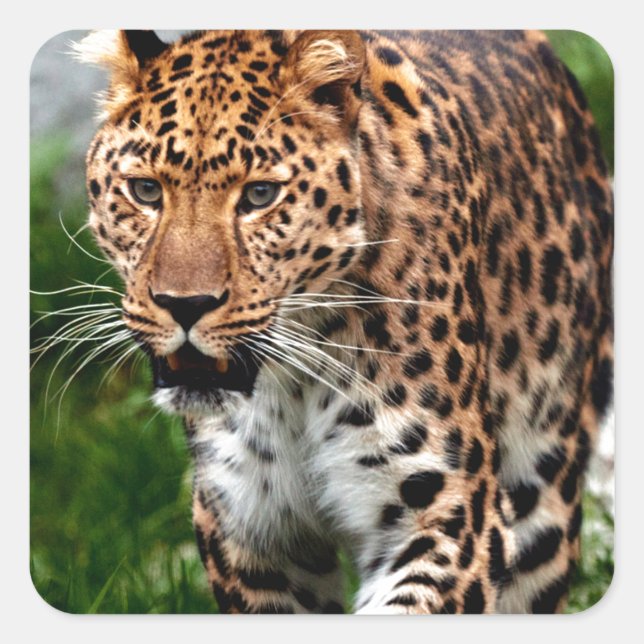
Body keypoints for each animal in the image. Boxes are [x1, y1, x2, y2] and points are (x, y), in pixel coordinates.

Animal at [74, 29, 613, 614]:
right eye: (145, 191)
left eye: (260, 195)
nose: (185, 303)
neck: (293, 381)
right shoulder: (248, 527)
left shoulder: (449, 513)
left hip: (545, 491)